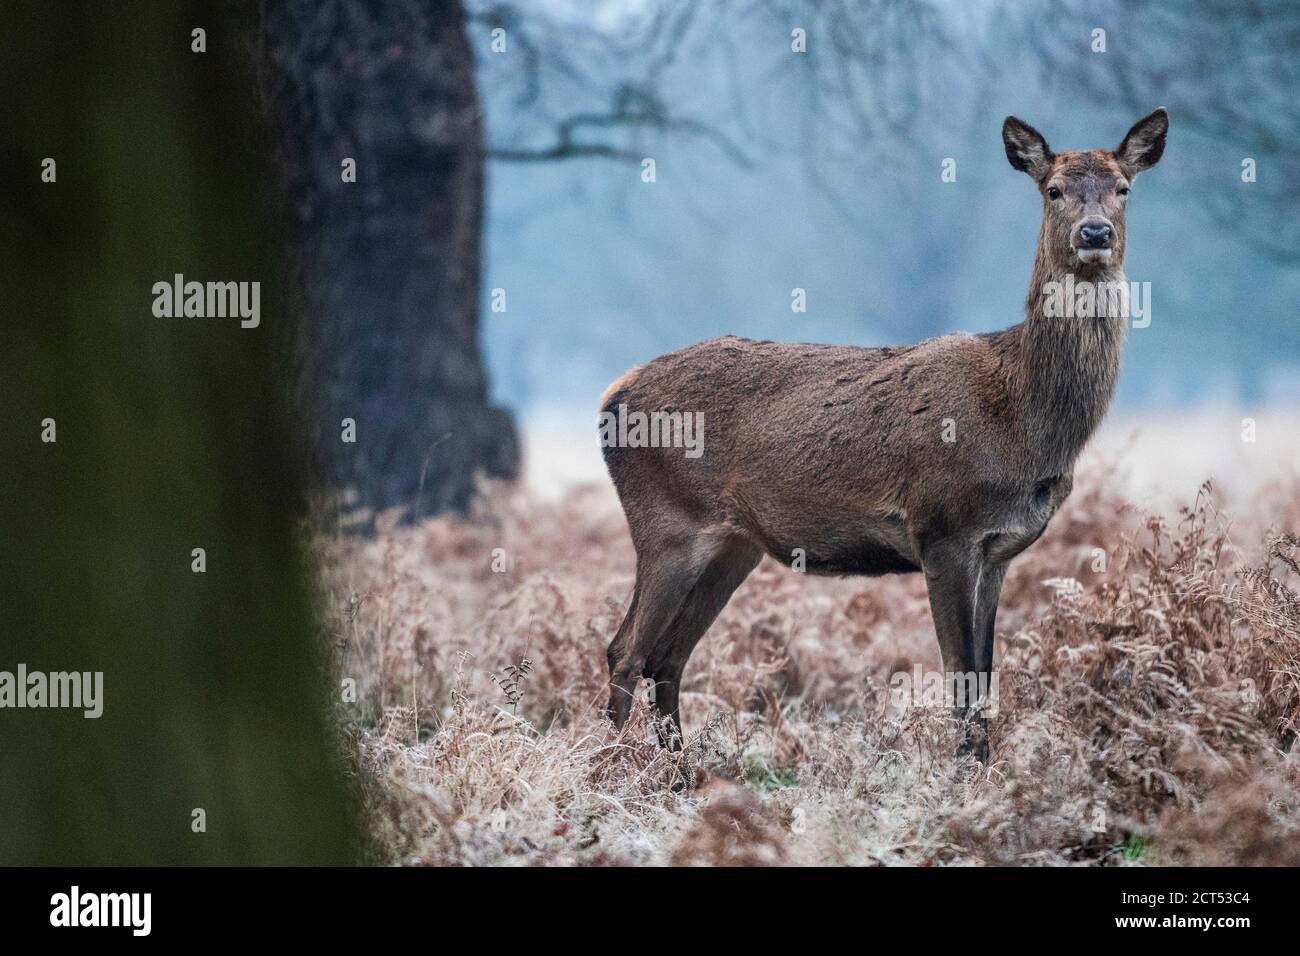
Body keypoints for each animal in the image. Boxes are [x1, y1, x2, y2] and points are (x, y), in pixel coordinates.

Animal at [599, 109, 1167, 763]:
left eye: (1124, 188)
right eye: (1052, 190)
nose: (1094, 233)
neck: (1024, 423)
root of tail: (611, 396)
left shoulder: (999, 550)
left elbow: (985, 678)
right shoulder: (942, 529)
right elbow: (960, 679)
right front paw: (962, 775)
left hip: (733, 544)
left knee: (667, 657)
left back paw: (680, 773)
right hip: (667, 523)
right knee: (625, 650)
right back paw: (610, 771)